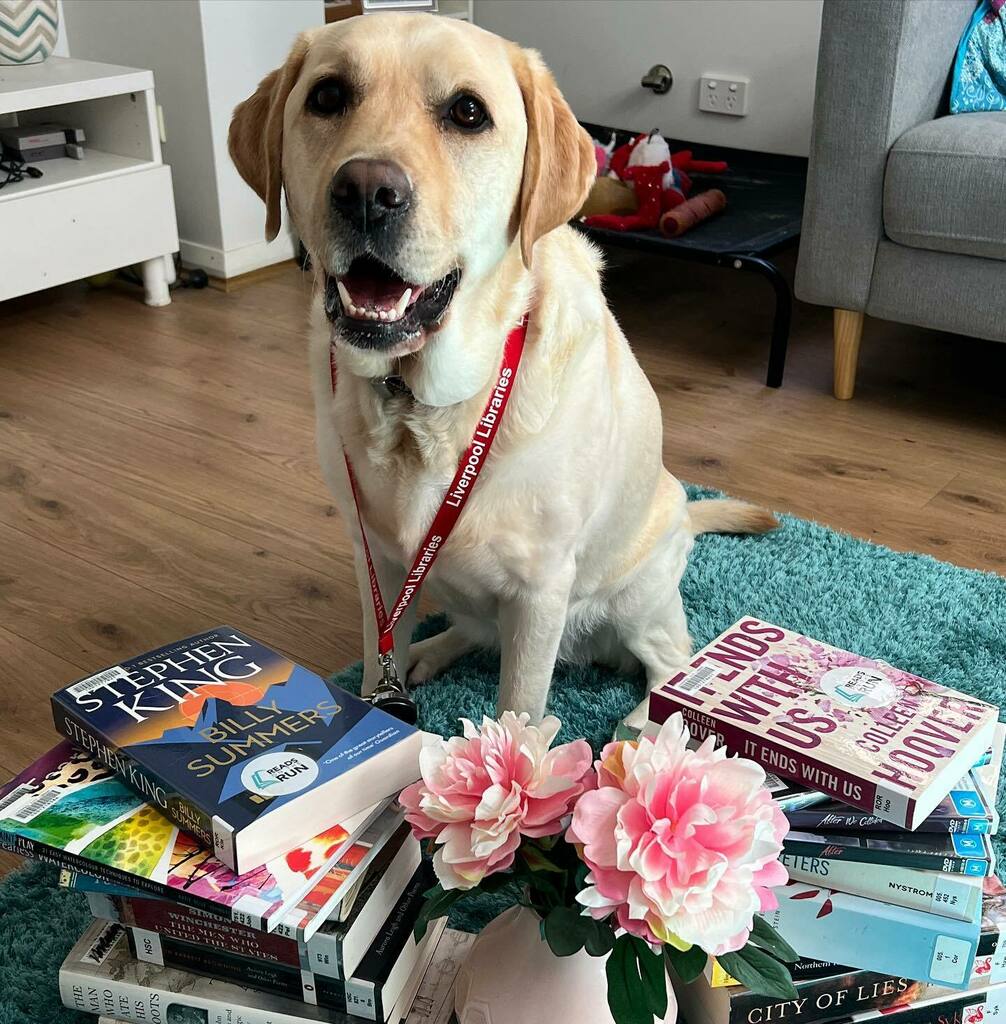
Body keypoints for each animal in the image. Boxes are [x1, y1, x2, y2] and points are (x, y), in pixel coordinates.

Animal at [230, 12, 778, 724]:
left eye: (468, 113)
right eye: (327, 96)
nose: (366, 192)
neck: (421, 404)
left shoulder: (539, 591)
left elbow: (519, 707)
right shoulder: (376, 560)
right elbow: (379, 656)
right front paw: (385, 691)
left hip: (636, 595)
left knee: (671, 661)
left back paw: (644, 726)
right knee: (471, 629)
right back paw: (428, 652)